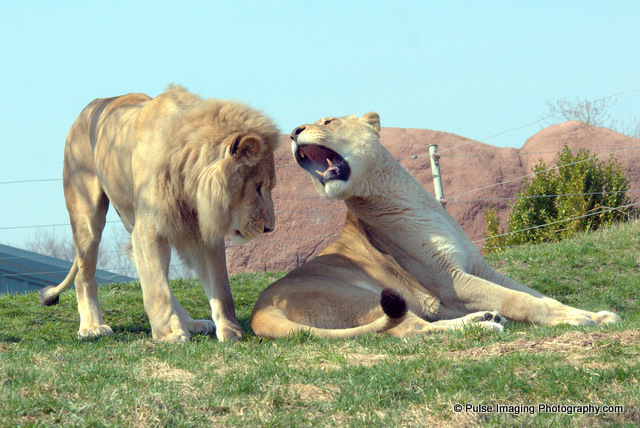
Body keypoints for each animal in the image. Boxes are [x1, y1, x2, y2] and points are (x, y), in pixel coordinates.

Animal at [39, 85, 279, 342]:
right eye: (258, 187)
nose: (270, 228)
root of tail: (92, 105)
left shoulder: (201, 231)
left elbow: (221, 289)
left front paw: (230, 330)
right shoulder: (148, 229)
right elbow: (157, 289)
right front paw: (169, 334)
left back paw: (192, 323)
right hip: (87, 211)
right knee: (85, 273)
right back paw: (92, 326)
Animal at [250, 112, 621, 339]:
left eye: (329, 120)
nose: (293, 133)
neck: (409, 196)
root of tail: (259, 309)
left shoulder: (478, 267)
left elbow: (532, 293)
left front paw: (596, 314)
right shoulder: (448, 282)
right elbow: (519, 299)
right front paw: (577, 319)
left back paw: (485, 319)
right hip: (364, 295)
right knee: (410, 328)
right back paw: (483, 326)